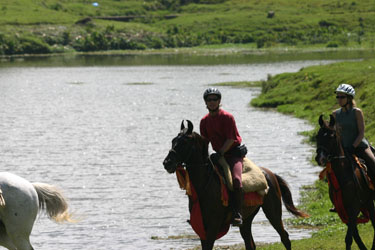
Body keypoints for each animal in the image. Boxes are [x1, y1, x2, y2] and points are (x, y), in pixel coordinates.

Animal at [162, 120, 308, 249]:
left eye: (184, 142)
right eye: (173, 141)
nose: (167, 163)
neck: (205, 185)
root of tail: (270, 174)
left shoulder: (213, 225)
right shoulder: (202, 226)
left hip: (273, 213)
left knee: (285, 238)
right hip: (247, 219)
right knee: (251, 244)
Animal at [318, 115, 375, 250]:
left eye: (332, 136)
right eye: (318, 136)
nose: (320, 158)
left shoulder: (354, 206)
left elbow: (349, 237)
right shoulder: (343, 209)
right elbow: (355, 235)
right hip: (368, 202)